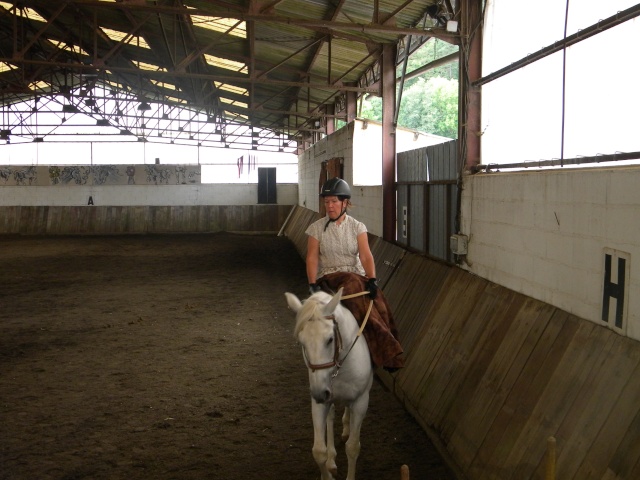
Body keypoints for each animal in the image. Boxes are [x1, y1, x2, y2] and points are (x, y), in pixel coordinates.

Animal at [286, 288, 376, 480]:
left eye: (329, 339)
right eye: (302, 343)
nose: (320, 393)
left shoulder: (361, 401)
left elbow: (353, 447)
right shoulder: (320, 400)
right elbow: (319, 451)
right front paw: (328, 467)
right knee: (331, 416)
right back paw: (332, 459)